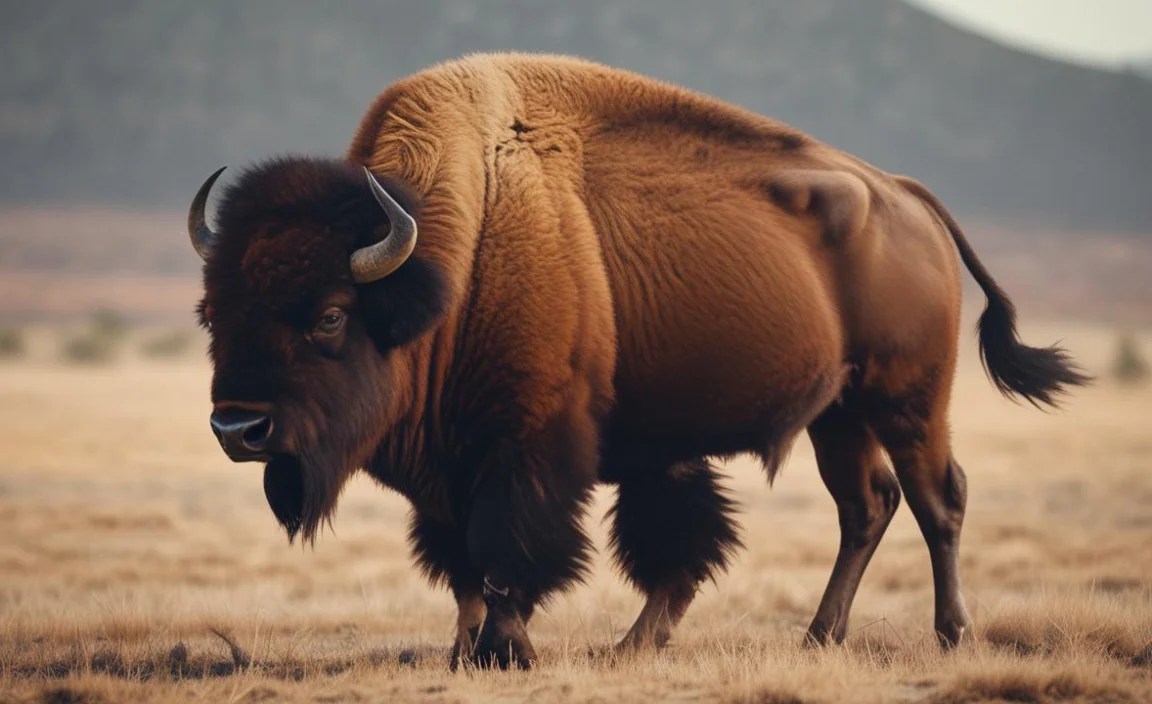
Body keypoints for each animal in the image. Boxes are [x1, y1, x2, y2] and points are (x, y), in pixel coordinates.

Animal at [188, 53, 1087, 668]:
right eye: (212, 314)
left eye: (330, 316)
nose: (238, 428)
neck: (454, 256)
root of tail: (907, 195)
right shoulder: (462, 466)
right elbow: (477, 563)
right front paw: (477, 650)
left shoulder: (528, 448)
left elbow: (516, 552)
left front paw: (511, 651)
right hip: (839, 412)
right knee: (866, 505)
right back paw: (815, 638)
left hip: (908, 398)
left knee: (939, 500)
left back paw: (951, 634)